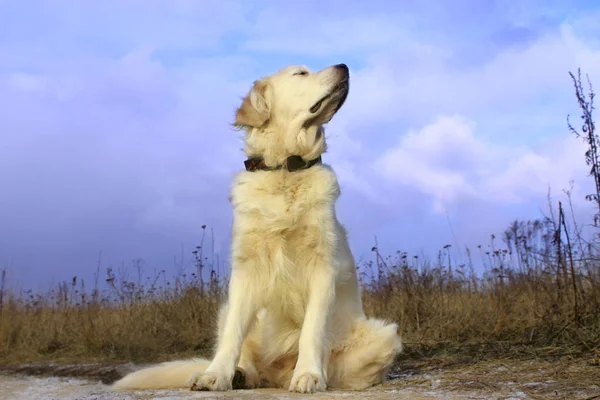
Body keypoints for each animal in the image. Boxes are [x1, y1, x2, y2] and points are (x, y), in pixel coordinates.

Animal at [112, 63, 404, 394]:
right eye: (301, 73)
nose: (344, 67)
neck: (285, 168)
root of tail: (274, 374)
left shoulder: (323, 267)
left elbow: (312, 330)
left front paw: (308, 375)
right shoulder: (245, 269)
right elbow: (232, 335)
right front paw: (216, 374)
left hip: (384, 335)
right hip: (228, 311)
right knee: (249, 358)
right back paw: (240, 374)